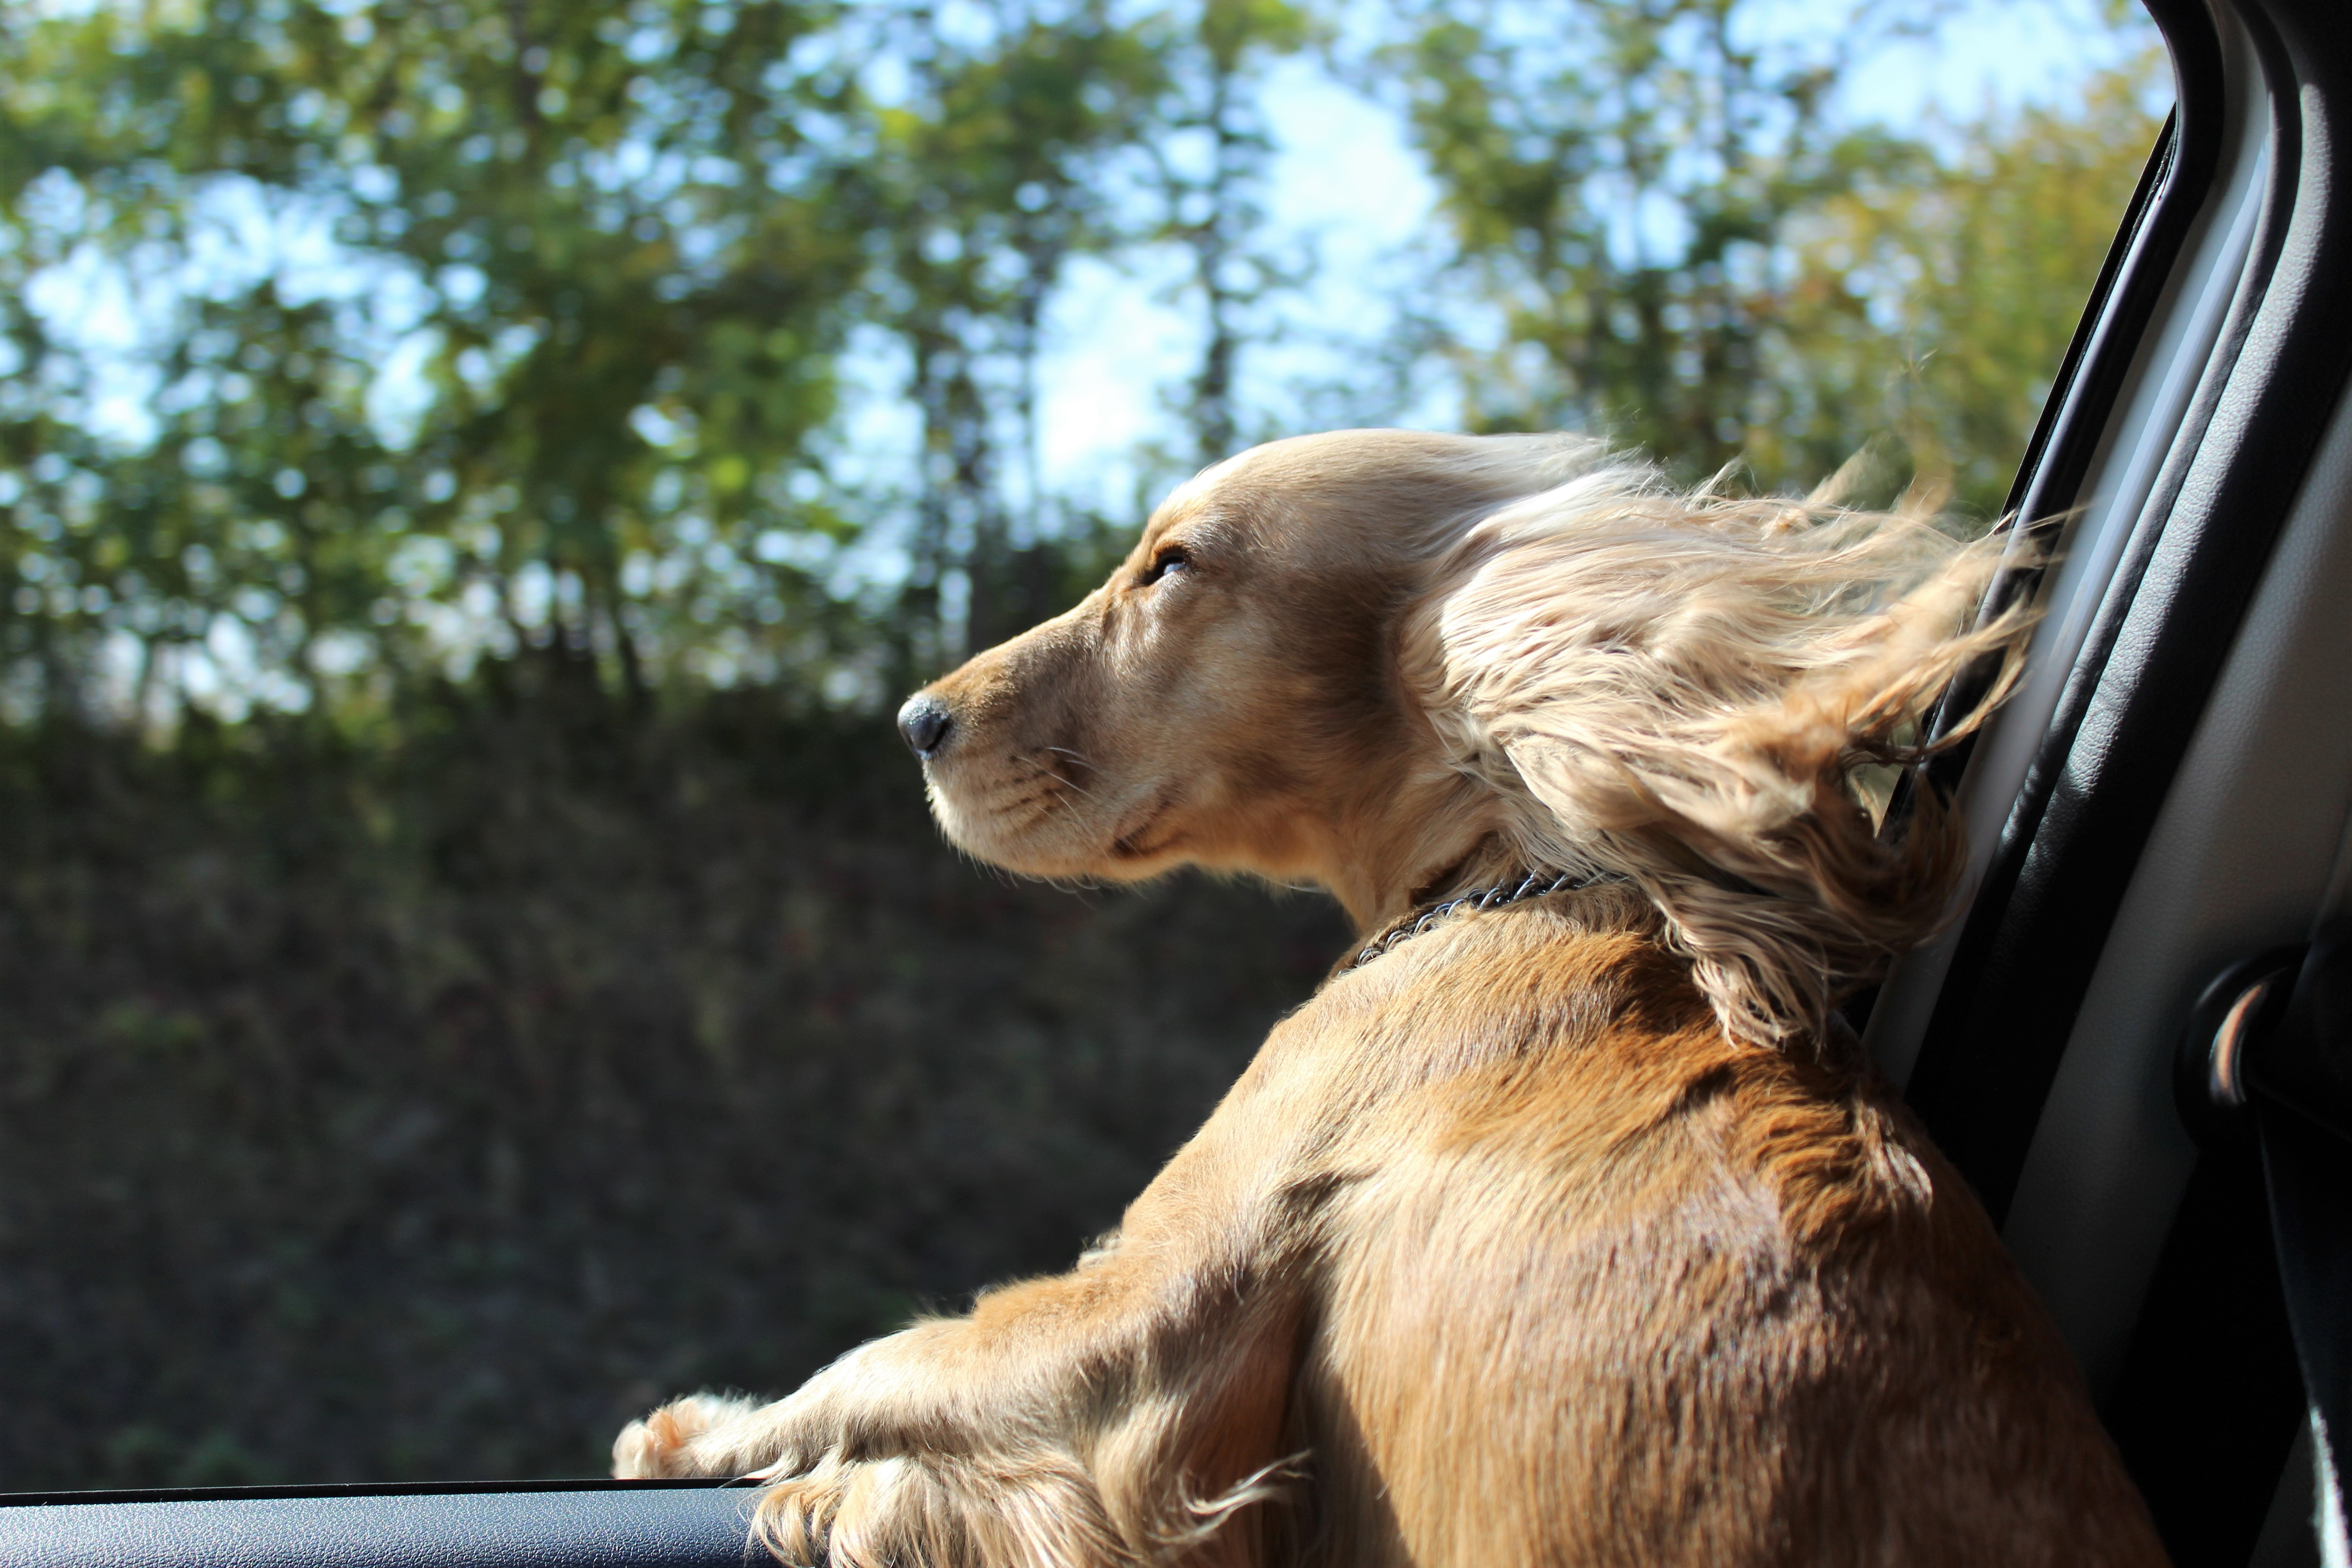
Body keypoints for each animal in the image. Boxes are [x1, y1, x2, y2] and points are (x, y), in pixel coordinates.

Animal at [611, 432, 2164, 1568]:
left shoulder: (1152, 1306)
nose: (917, 722)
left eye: (1171, 566)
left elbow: (889, 1361)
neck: (1508, 883)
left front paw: (717, 1445)